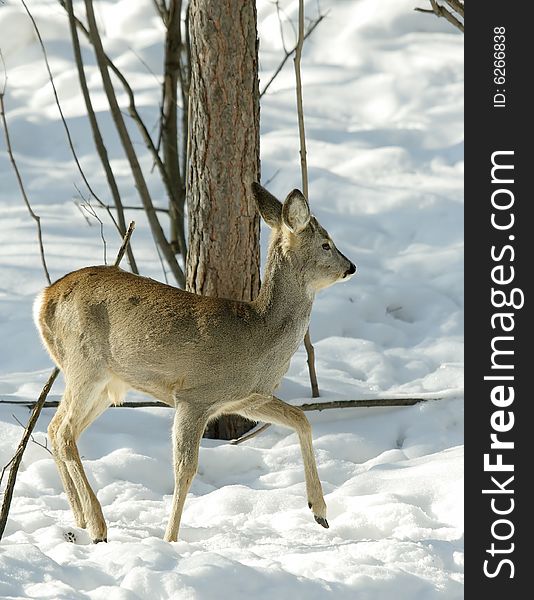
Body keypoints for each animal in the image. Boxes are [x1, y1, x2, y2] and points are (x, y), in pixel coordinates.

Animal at [35, 183, 358, 544]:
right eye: (326, 244)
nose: (351, 266)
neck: (259, 335)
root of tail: (44, 298)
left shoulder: (248, 398)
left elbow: (302, 418)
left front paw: (320, 512)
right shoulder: (195, 396)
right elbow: (185, 468)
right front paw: (170, 540)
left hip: (106, 384)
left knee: (55, 429)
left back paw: (79, 519)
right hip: (86, 365)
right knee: (64, 431)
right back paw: (97, 525)